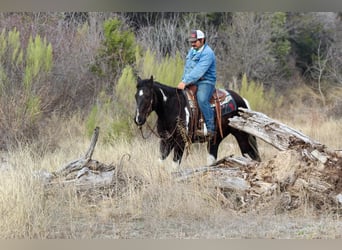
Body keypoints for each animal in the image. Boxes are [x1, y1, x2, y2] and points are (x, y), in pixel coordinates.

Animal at [134, 75, 262, 166]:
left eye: (147, 96)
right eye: (136, 96)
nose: (138, 119)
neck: (172, 107)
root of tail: (242, 101)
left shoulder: (180, 142)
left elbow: (174, 165)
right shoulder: (165, 141)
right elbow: (160, 161)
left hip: (242, 137)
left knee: (252, 157)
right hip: (215, 140)